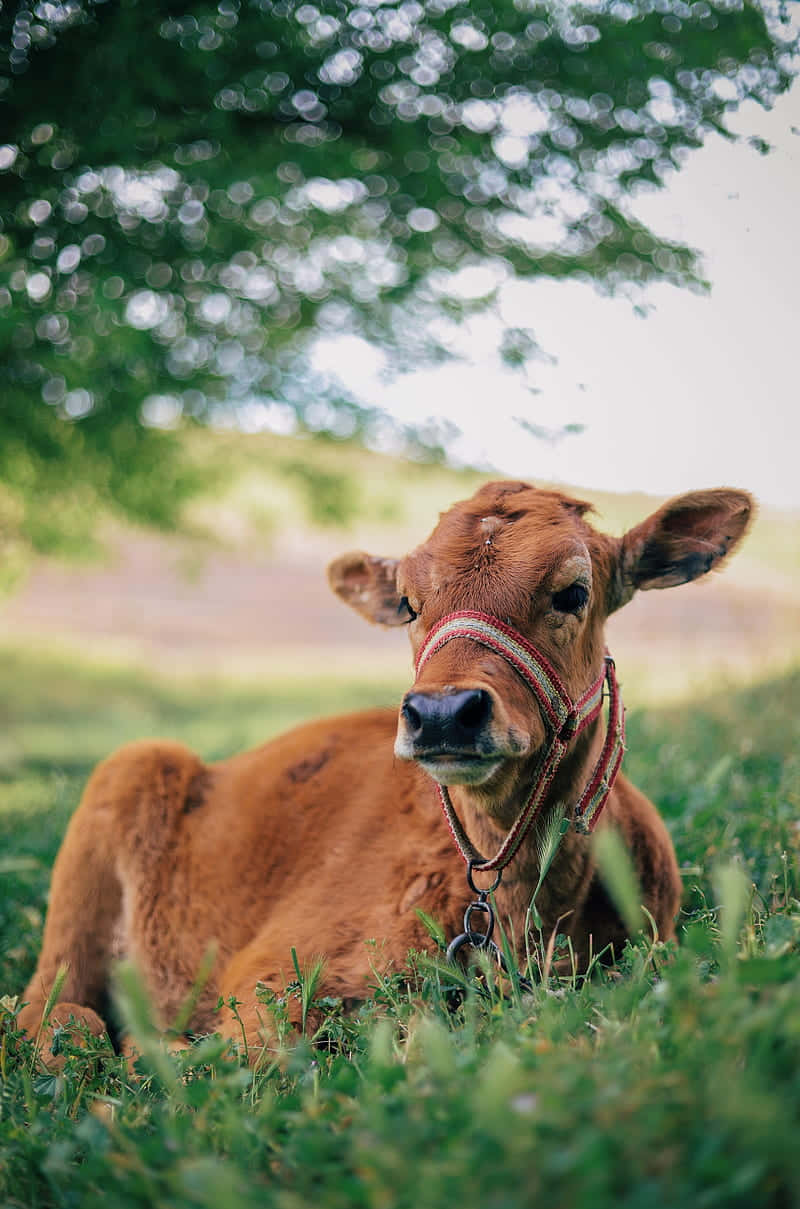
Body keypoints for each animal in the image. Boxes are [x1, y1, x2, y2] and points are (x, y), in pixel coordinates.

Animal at [20, 476, 758, 1063]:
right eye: (408, 603)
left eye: (573, 592)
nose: (443, 712)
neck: (524, 912)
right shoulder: (265, 983)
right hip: (117, 795)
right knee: (50, 1012)